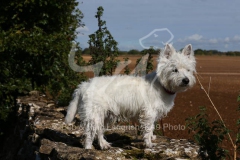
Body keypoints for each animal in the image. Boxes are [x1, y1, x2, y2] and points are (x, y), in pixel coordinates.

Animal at [64, 43, 196, 149]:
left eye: (188, 70)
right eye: (175, 70)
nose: (186, 80)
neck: (162, 85)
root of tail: (84, 85)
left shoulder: (152, 114)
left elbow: (151, 128)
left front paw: (152, 138)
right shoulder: (148, 113)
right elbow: (148, 129)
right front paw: (149, 144)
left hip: (105, 115)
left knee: (99, 131)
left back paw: (104, 145)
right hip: (93, 115)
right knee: (90, 133)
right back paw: (88, 148)